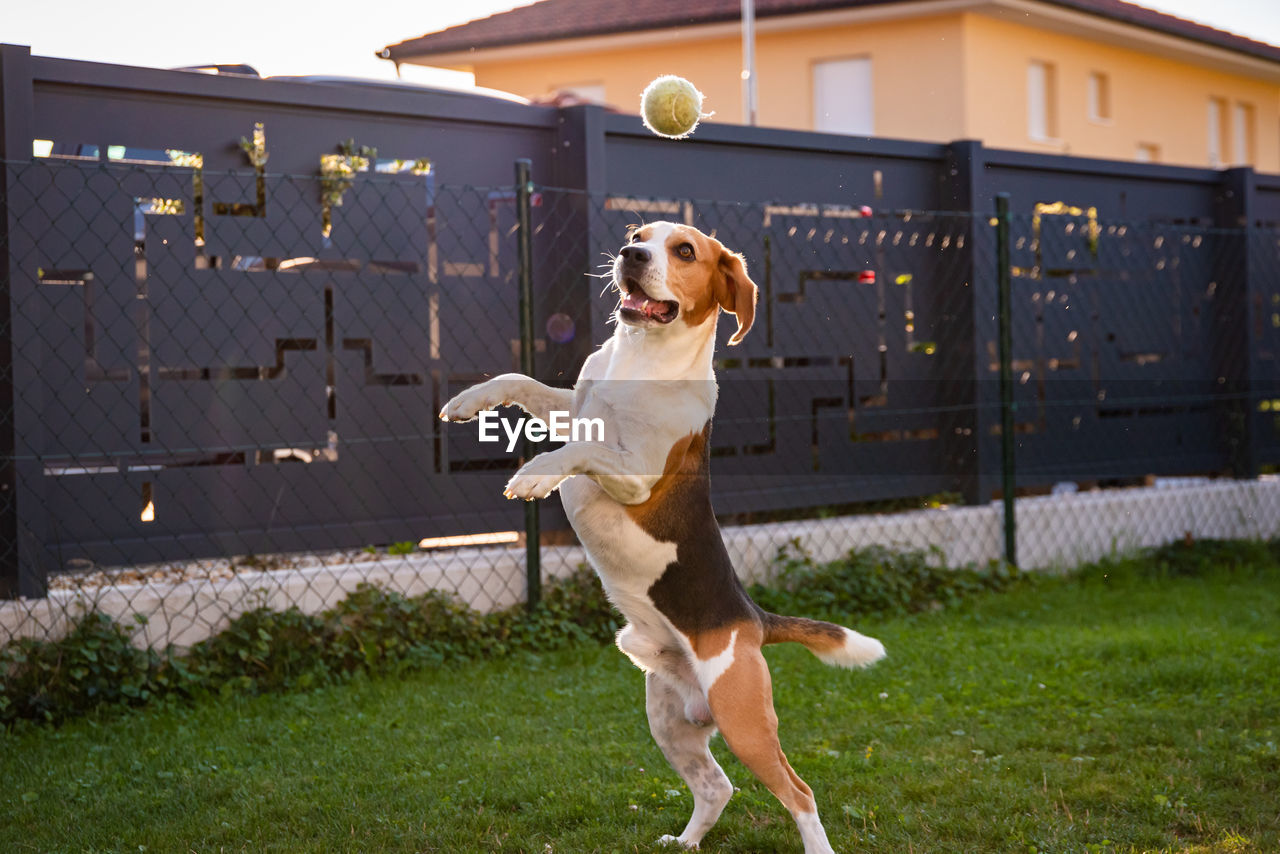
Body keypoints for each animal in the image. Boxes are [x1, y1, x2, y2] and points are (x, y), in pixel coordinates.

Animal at [437, 222, 880, 854]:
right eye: (638, 234)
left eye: (685, 251)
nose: (629, 255)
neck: (641, 357)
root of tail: (751, 618)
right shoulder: (576, 407)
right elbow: (522, 382)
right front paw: (469, 401)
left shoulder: (635, 474)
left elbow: (581, 450)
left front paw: (535, 474)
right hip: (669, 721)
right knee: (717, 786)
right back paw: (687, 841)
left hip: (745, 724)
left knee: (800, 792)